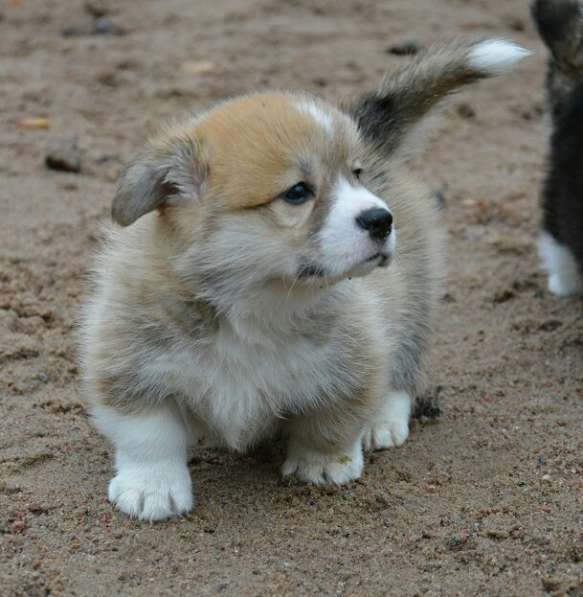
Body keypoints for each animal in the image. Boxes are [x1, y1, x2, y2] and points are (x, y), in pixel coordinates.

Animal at [81, 39, 528, 520]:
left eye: (356, 175)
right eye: (297, 192)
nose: (381, 219)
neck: (257, 299)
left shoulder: (355, 358)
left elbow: (332, 420)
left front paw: (324, 465)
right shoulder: (129, 361)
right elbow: (148, 434)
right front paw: (152, 488)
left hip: (413, 298)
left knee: (402, 368)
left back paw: (383, 421)